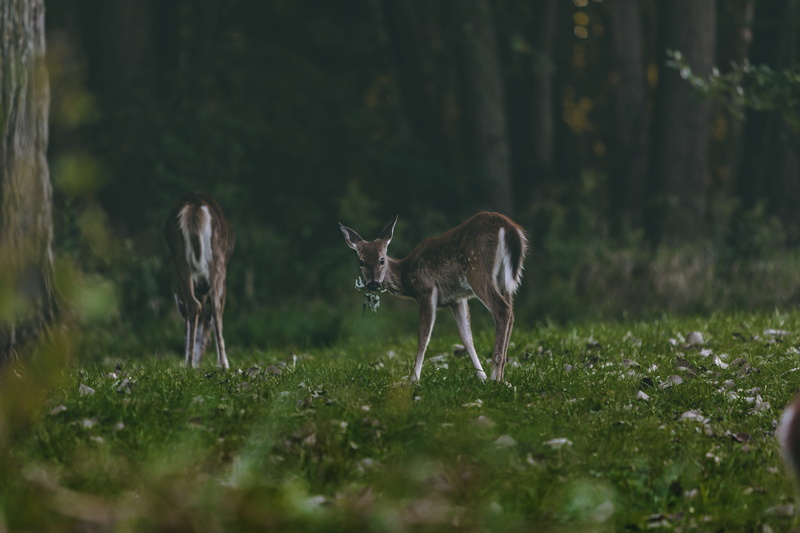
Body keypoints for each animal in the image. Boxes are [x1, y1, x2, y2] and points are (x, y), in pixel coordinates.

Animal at [164, 192, 234, 369]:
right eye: (207, 343)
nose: (198, 360)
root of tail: (194, 204)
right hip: (217, 261)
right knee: (215, 307)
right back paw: (221, 363)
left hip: (180, 260)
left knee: (194, 305)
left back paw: (189, 363)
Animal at [339, 212, 528, 382]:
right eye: (361, 262)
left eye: (382, 259)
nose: (373, 284)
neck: (406, 276)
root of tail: (508, 227)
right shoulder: (457, 299)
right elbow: (466, 336)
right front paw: (481, 376)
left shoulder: (426, 289)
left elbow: (423, 335)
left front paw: (413, 378)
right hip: (504, 279)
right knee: (511, 313)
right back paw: (500, 375)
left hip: (476, 268)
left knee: (502, 309)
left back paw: (495, 377)